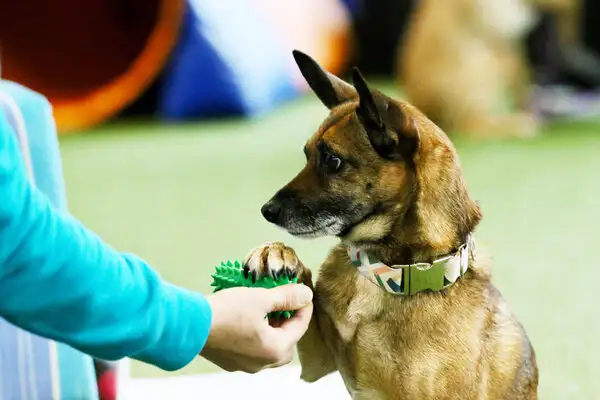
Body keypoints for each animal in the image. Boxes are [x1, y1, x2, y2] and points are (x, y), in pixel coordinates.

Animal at [244, 50, 540, 400]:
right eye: (306, 156)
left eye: (332, 161)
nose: (268, 211)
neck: (389, 272)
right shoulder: (316, 362)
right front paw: (274, 253)